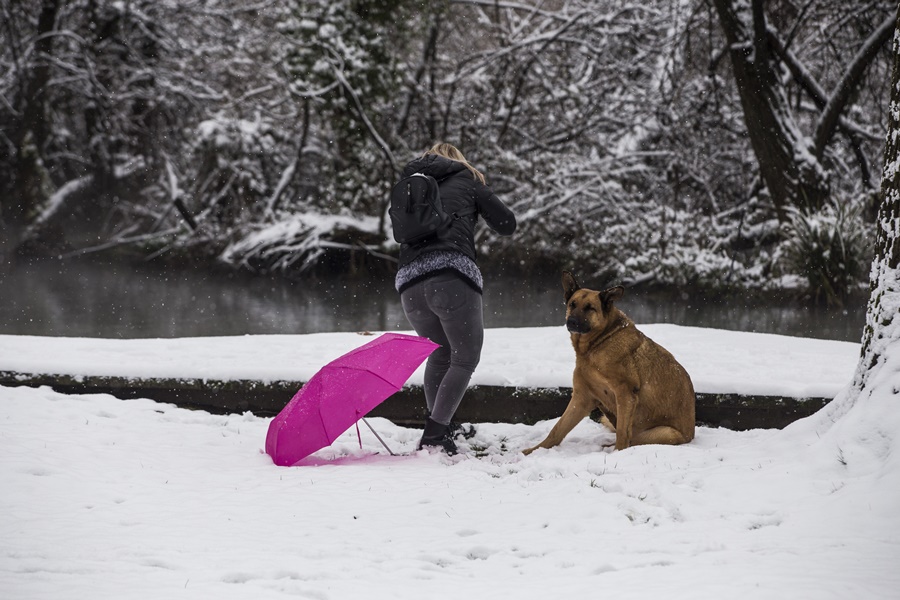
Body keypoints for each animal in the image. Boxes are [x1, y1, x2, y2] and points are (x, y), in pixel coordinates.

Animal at [520, 272, 696, 454]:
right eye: (572, 304)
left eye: (590, 308)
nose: (571, 322)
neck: (599, 343)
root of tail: (690, 435)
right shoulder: (582, 398)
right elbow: (557, 429)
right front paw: (533, 451)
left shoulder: (626, 394)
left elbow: (622, 433)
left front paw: (618, 454)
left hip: (665, 433)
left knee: (632, 439)